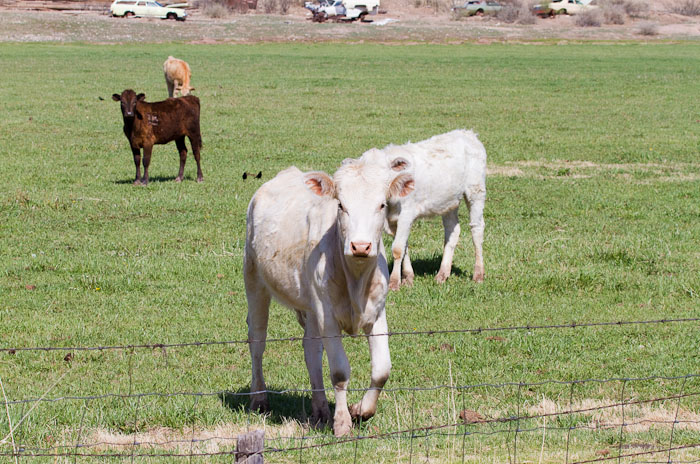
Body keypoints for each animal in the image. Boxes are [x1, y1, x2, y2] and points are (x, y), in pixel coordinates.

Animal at [243, 161, 412, 436]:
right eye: (341, 205)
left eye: (382, 205)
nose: (360, 246)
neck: (356, 280)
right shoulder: (328, 316)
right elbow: (340, 371)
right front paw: (342, 423)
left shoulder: (377, 313)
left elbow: (382, 369)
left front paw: (361, 410)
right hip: (254, 280)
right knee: (257, 341)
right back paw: (259, 399)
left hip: (312, 308)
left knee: (311, 350)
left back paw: (320, 409)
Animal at [360, 130, 486, 290]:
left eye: (384, 173)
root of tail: (468, 133)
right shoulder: (393, 220)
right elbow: (404, 246)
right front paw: (408, 277)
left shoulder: (407, 213)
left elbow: (397, 248)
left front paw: (394, 282)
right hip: (449, 200)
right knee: (452, 230)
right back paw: (442, 274)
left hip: (476, 190)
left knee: (477, 229)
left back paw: (478, 274)